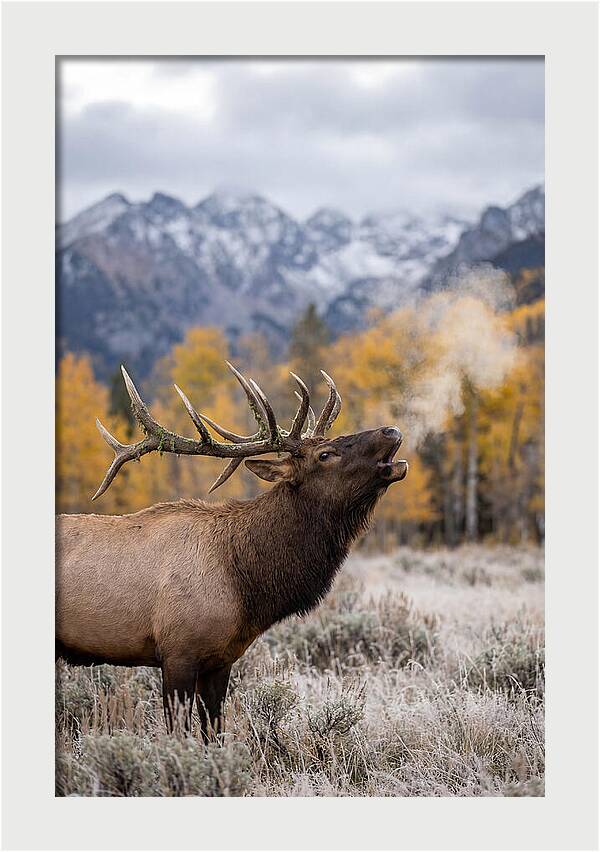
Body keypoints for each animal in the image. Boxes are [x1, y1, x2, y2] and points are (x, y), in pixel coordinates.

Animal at [56, 362, 408, 736]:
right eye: (324, 454)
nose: (391, 430)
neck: (245, 585)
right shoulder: (177, 652)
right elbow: (179, 735)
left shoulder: (221, 660)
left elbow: (214, 731)